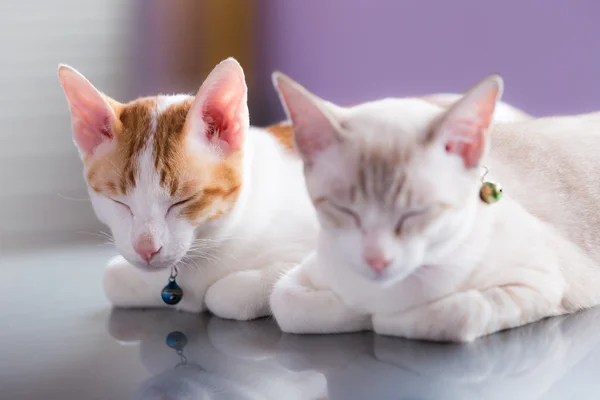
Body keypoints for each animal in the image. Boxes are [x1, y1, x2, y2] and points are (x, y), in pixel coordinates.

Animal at [58, 56, 528, 320]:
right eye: (118, 201)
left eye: (183, 200)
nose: (147, 248)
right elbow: (113, 279)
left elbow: (232, 293)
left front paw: (216, 294)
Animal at [272, 71, 600, 340]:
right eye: (345, 211)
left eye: (415, 213)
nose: (376, 261)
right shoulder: (300, 278)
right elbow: (289, 306)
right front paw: (355, 311)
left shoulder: (542, 283)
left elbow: (454, 315)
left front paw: (381, 318)